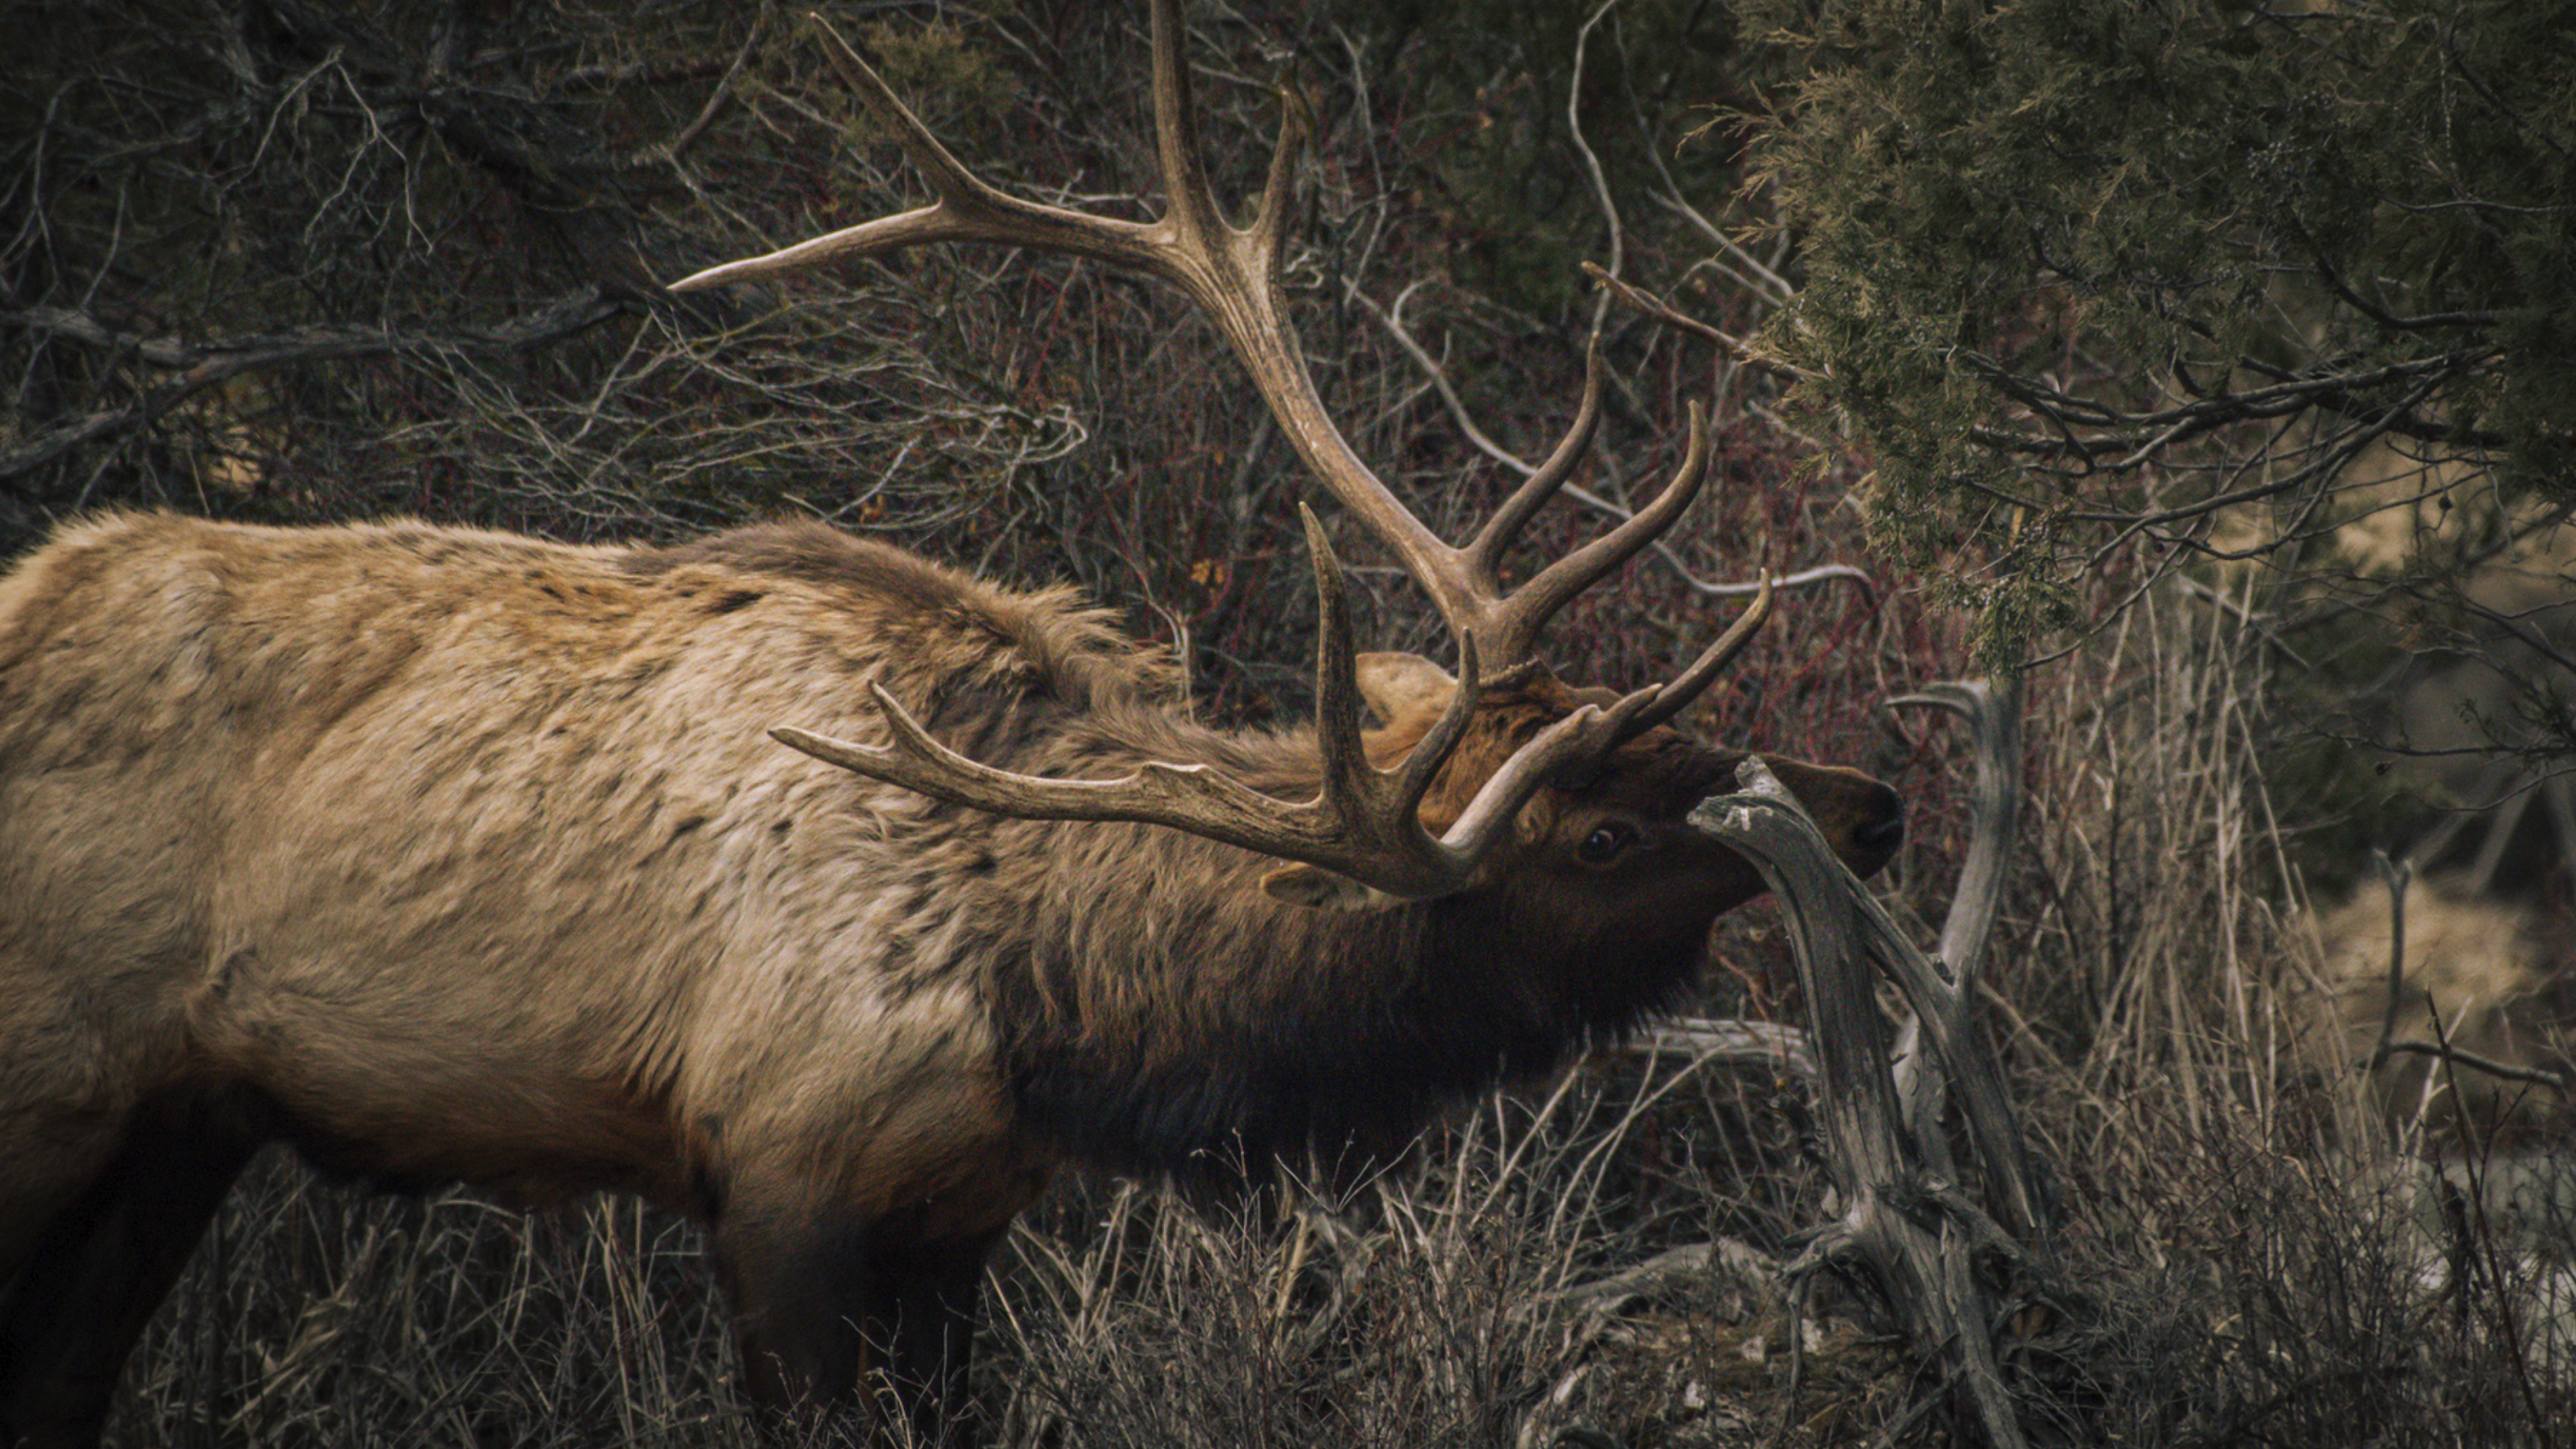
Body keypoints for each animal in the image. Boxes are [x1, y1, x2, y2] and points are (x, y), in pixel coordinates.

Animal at [0, 4, 1903, 1444]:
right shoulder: (777, 1173)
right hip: (56, 1077)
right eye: (1603, 829)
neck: (1050, 998)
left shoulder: (958, 1222)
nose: (1871, 799)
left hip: (186, 1118)